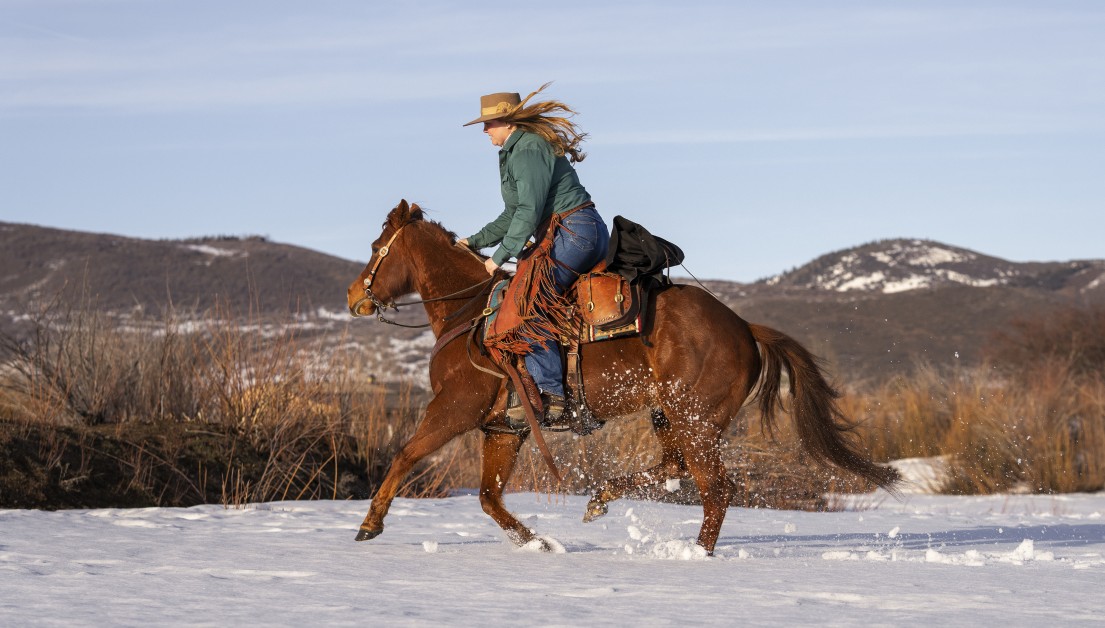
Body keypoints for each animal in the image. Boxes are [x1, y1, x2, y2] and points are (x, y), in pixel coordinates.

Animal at [347, 200, 900, 554]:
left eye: (376, 246)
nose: (355, 297)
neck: (468, 314)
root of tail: (743, 327)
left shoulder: (454, 408)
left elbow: (406, 456)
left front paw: (370, 523)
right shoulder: (504, 428)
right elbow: (488, 497)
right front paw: (536, 543)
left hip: (695, 420)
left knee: (716, 488)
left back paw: (695, 554)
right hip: (670, 415)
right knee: (675, 468)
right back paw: (600, 499)